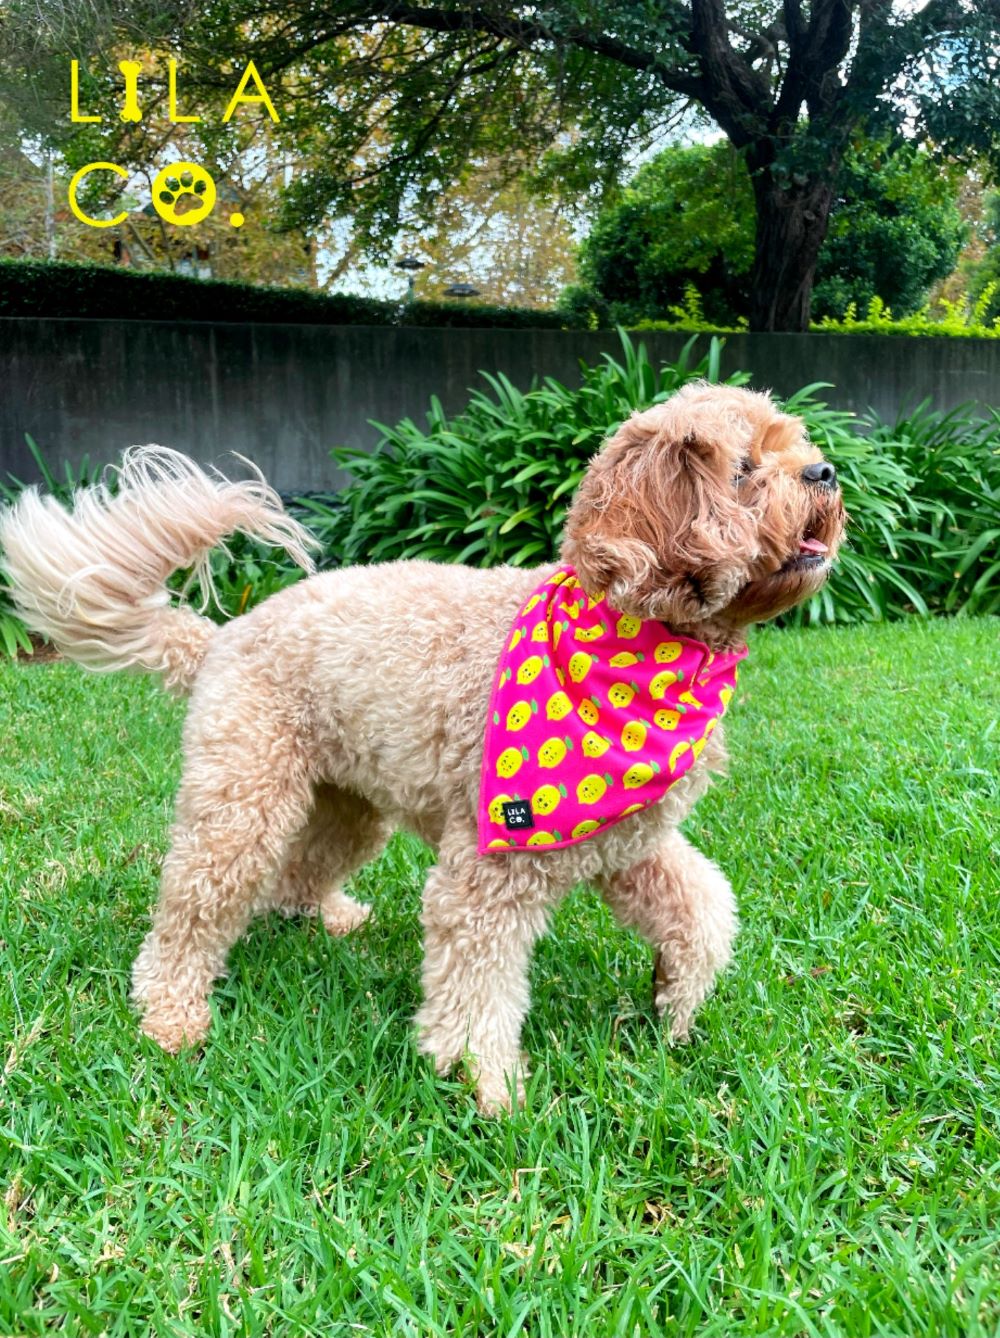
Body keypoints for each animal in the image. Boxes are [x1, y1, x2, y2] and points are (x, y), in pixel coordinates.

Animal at [1, 382, 846, 1113]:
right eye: (744, 469)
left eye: (793, 444)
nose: (826, 472)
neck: (640, 637)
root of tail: (219, 639)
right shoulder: (493, 871)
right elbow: (477, 987)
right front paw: (487, 1086)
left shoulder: (628, 837)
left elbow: (701, 910)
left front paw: (675, 1002)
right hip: (240, 800)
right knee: (191, 910)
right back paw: (171, 1017)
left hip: (345, 806)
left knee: (299, 875)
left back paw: (328, 918)